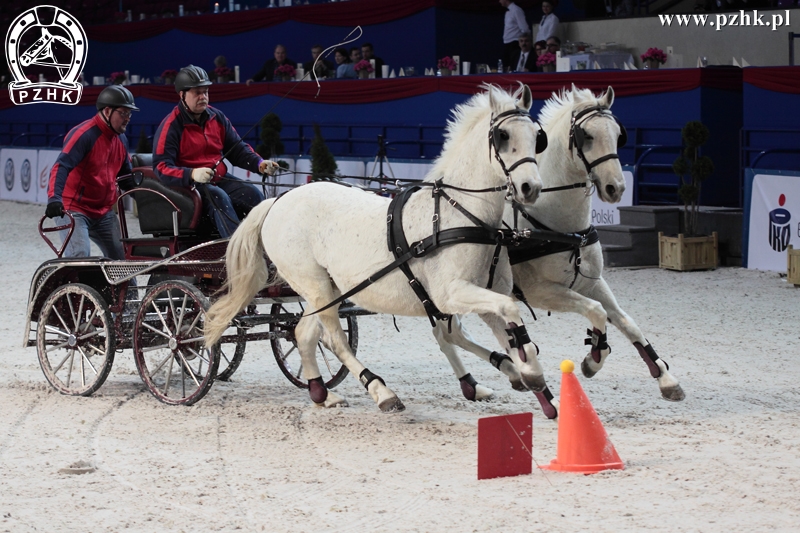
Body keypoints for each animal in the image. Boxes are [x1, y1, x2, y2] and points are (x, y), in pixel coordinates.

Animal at [206, 84, 552, 412]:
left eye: (538, 137)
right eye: (503, 136)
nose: (530, 188)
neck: (459, 212)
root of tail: (278, 200)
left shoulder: (486, 293)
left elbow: (508, 330)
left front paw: (526, 376)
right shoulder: (451, 293)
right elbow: (506, 314)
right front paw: (531, 375)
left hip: (326, 289)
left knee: (303, 334)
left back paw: (322, 394)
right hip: (315, 285)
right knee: (334, 338)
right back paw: (381, 391)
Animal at [434, 85, 684, 418]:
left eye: (619, 135)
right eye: (586, 135)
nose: (615, 187)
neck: (560, 226)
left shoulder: (593, 282)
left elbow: (626, 322)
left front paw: (666, 378)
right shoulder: (542, 292)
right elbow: (597, 312)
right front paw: (594, 357)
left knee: (455, 333)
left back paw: (497, 377)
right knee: (446, 333)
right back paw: (484, 380)